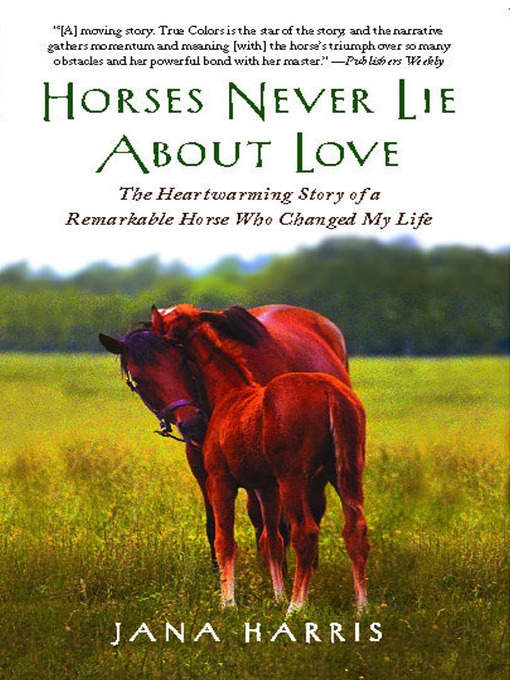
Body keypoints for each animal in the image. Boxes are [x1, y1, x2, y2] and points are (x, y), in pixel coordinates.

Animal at [131, 306, 369, 615]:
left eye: (177, 361)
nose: (191, 424)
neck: (230, 393)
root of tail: (330, 393)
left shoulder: (221, 479)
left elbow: (225, 540)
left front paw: (228, 602)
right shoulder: (265, 486)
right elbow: (271, 540)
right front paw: (275, 595)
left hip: (294, 479)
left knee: (305, 532)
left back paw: (296, 607)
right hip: (346, 473)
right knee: (355, 530)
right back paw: (361, 608)